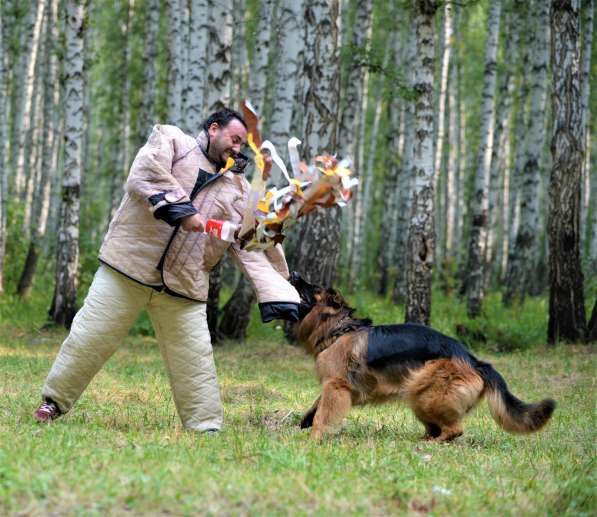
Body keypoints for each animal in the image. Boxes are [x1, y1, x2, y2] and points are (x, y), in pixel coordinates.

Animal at [288, 272, 556, 442]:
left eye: (314, 288)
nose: (295, 273)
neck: (338, 329)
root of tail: (474, 361)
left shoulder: (337, 386)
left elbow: (324, 414)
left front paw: (314, 439)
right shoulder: (336, 387)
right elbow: (317, 404)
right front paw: (306, 420)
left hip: (425, 395)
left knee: (454, 429)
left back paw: (430, 445)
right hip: (419, 398)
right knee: (437, 428)